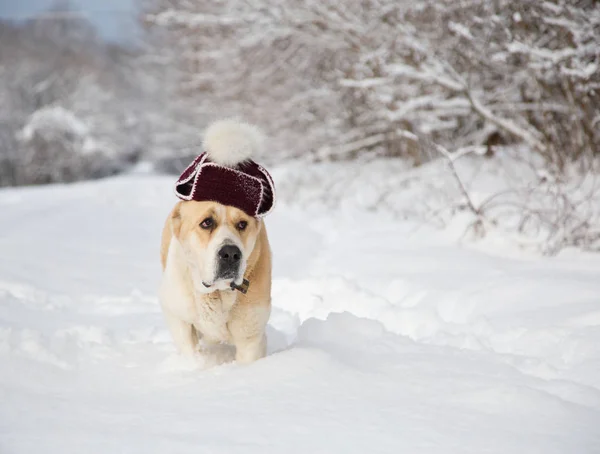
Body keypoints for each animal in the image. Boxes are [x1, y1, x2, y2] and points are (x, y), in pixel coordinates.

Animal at [157, 119, 274, 364]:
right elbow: (190, 349)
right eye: (207, 223)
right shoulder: (178, 316)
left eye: (242, 224)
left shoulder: (251, 335)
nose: (230, 253)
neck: (217, 293)